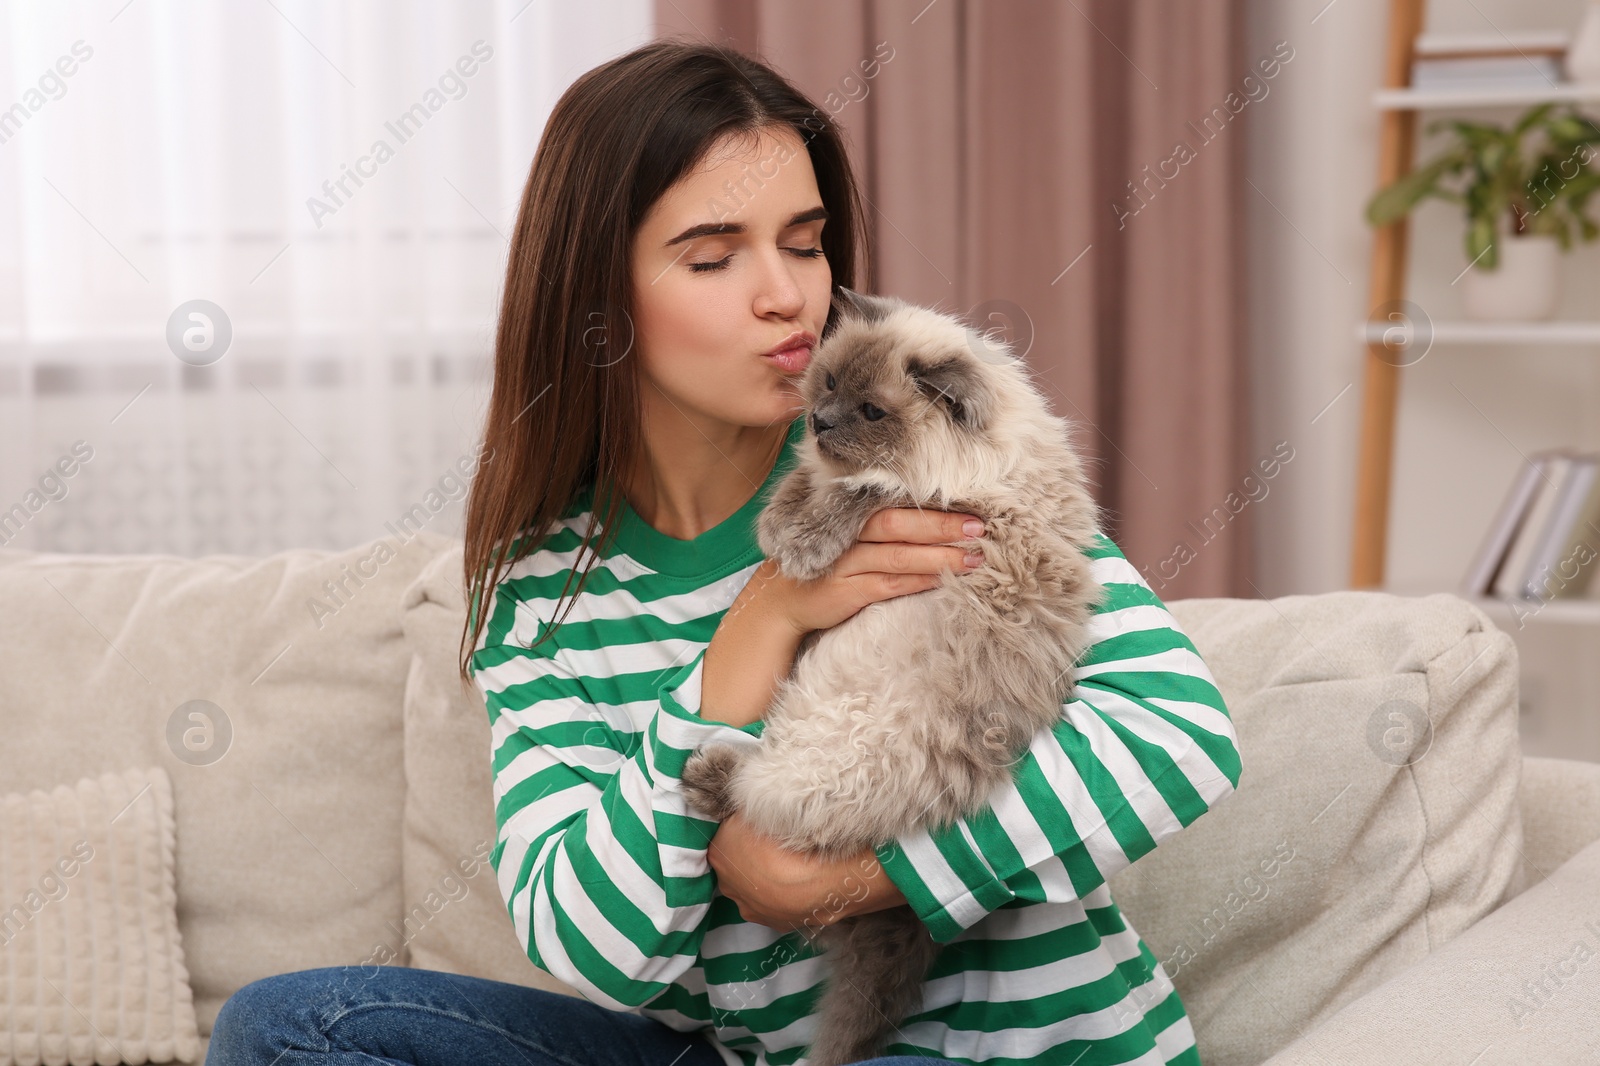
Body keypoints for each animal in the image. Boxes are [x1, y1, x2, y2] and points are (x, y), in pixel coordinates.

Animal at [681, 288, 1107, 1062]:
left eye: (872, 412)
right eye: (825, 386)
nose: (820, 422)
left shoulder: (934, 500)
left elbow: (864, 490)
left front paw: (800, 541)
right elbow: (804, 486)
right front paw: (781, 523)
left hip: (833, 746)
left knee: (765, 800)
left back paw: (706, 775)